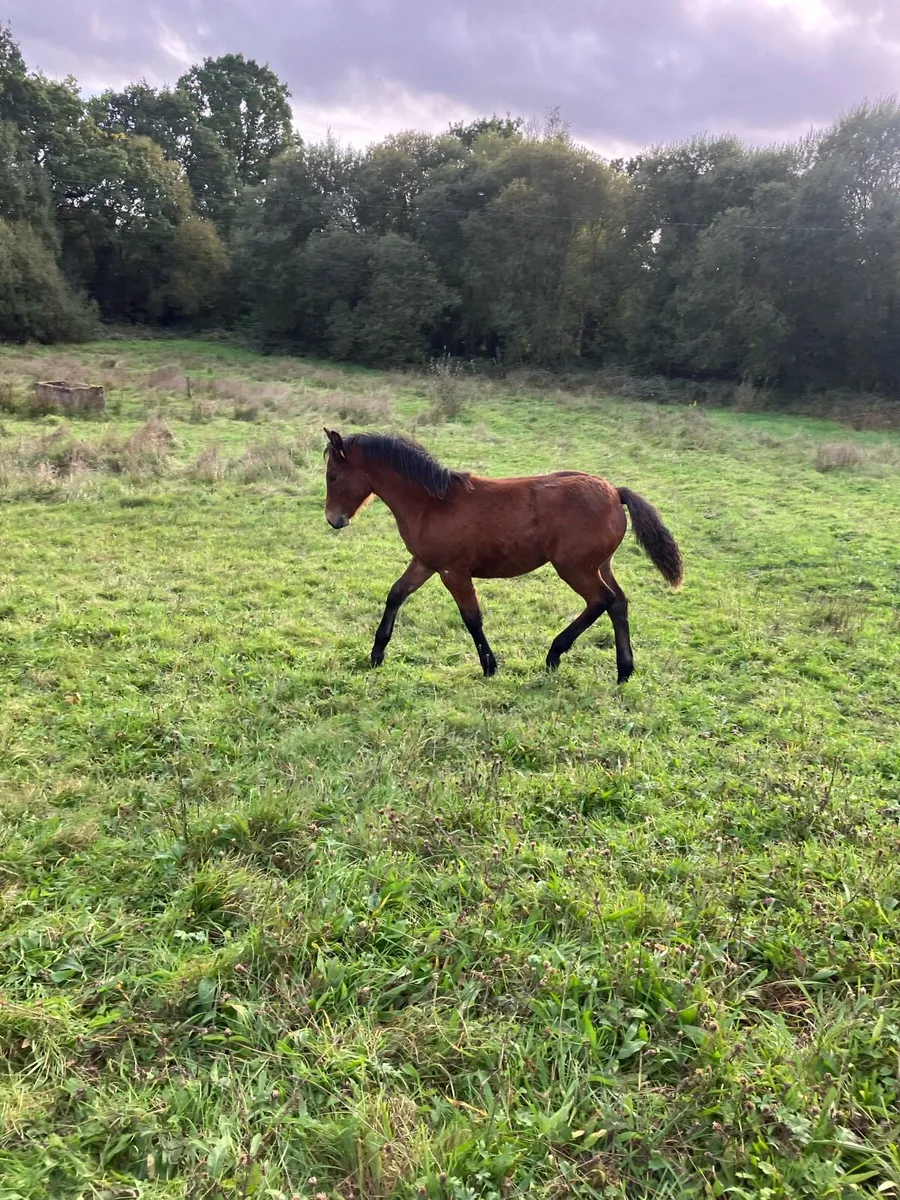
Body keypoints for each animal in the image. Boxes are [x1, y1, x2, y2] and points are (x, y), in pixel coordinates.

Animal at [323, 429, 683, 682]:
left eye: (333, 476)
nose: (333, 520)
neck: (431, 503)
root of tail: (614, 492)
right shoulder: (425, 563)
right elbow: (396, 594)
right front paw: (376, 654)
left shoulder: (453, 571)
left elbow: (471, 617)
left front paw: (490, 666)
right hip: (600, 565)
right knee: (618, 603)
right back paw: (624, 671)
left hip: (575, 568)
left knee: (601, 601)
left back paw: (554, 654)